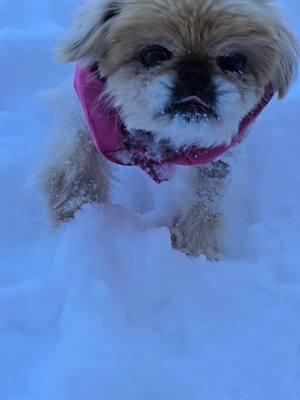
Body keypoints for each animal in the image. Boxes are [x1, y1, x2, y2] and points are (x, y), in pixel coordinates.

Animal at [45, 0, 298, 260]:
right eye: (154, 54)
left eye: (234, 61)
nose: (195, 74)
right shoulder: (89, 121)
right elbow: (78, 171)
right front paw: (78, 217)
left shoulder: (218, 151)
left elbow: (205, 199)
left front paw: (196, 247)